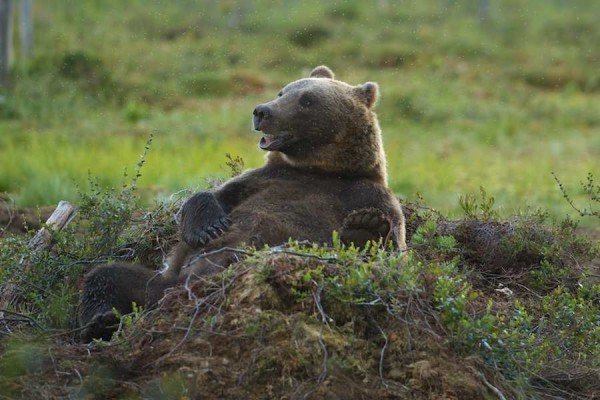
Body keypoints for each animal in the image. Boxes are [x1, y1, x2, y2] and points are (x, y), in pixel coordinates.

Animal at [78, 65, 408, 340]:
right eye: (283, 91)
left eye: (307, 100)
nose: (262, 111)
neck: (319, 170)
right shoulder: (265, 180)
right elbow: (212, 196)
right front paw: (207, 227)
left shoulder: (364, 193)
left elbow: (394, 249)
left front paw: (367, 225)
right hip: (160, 283)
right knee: (105, 276)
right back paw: (100, 322)